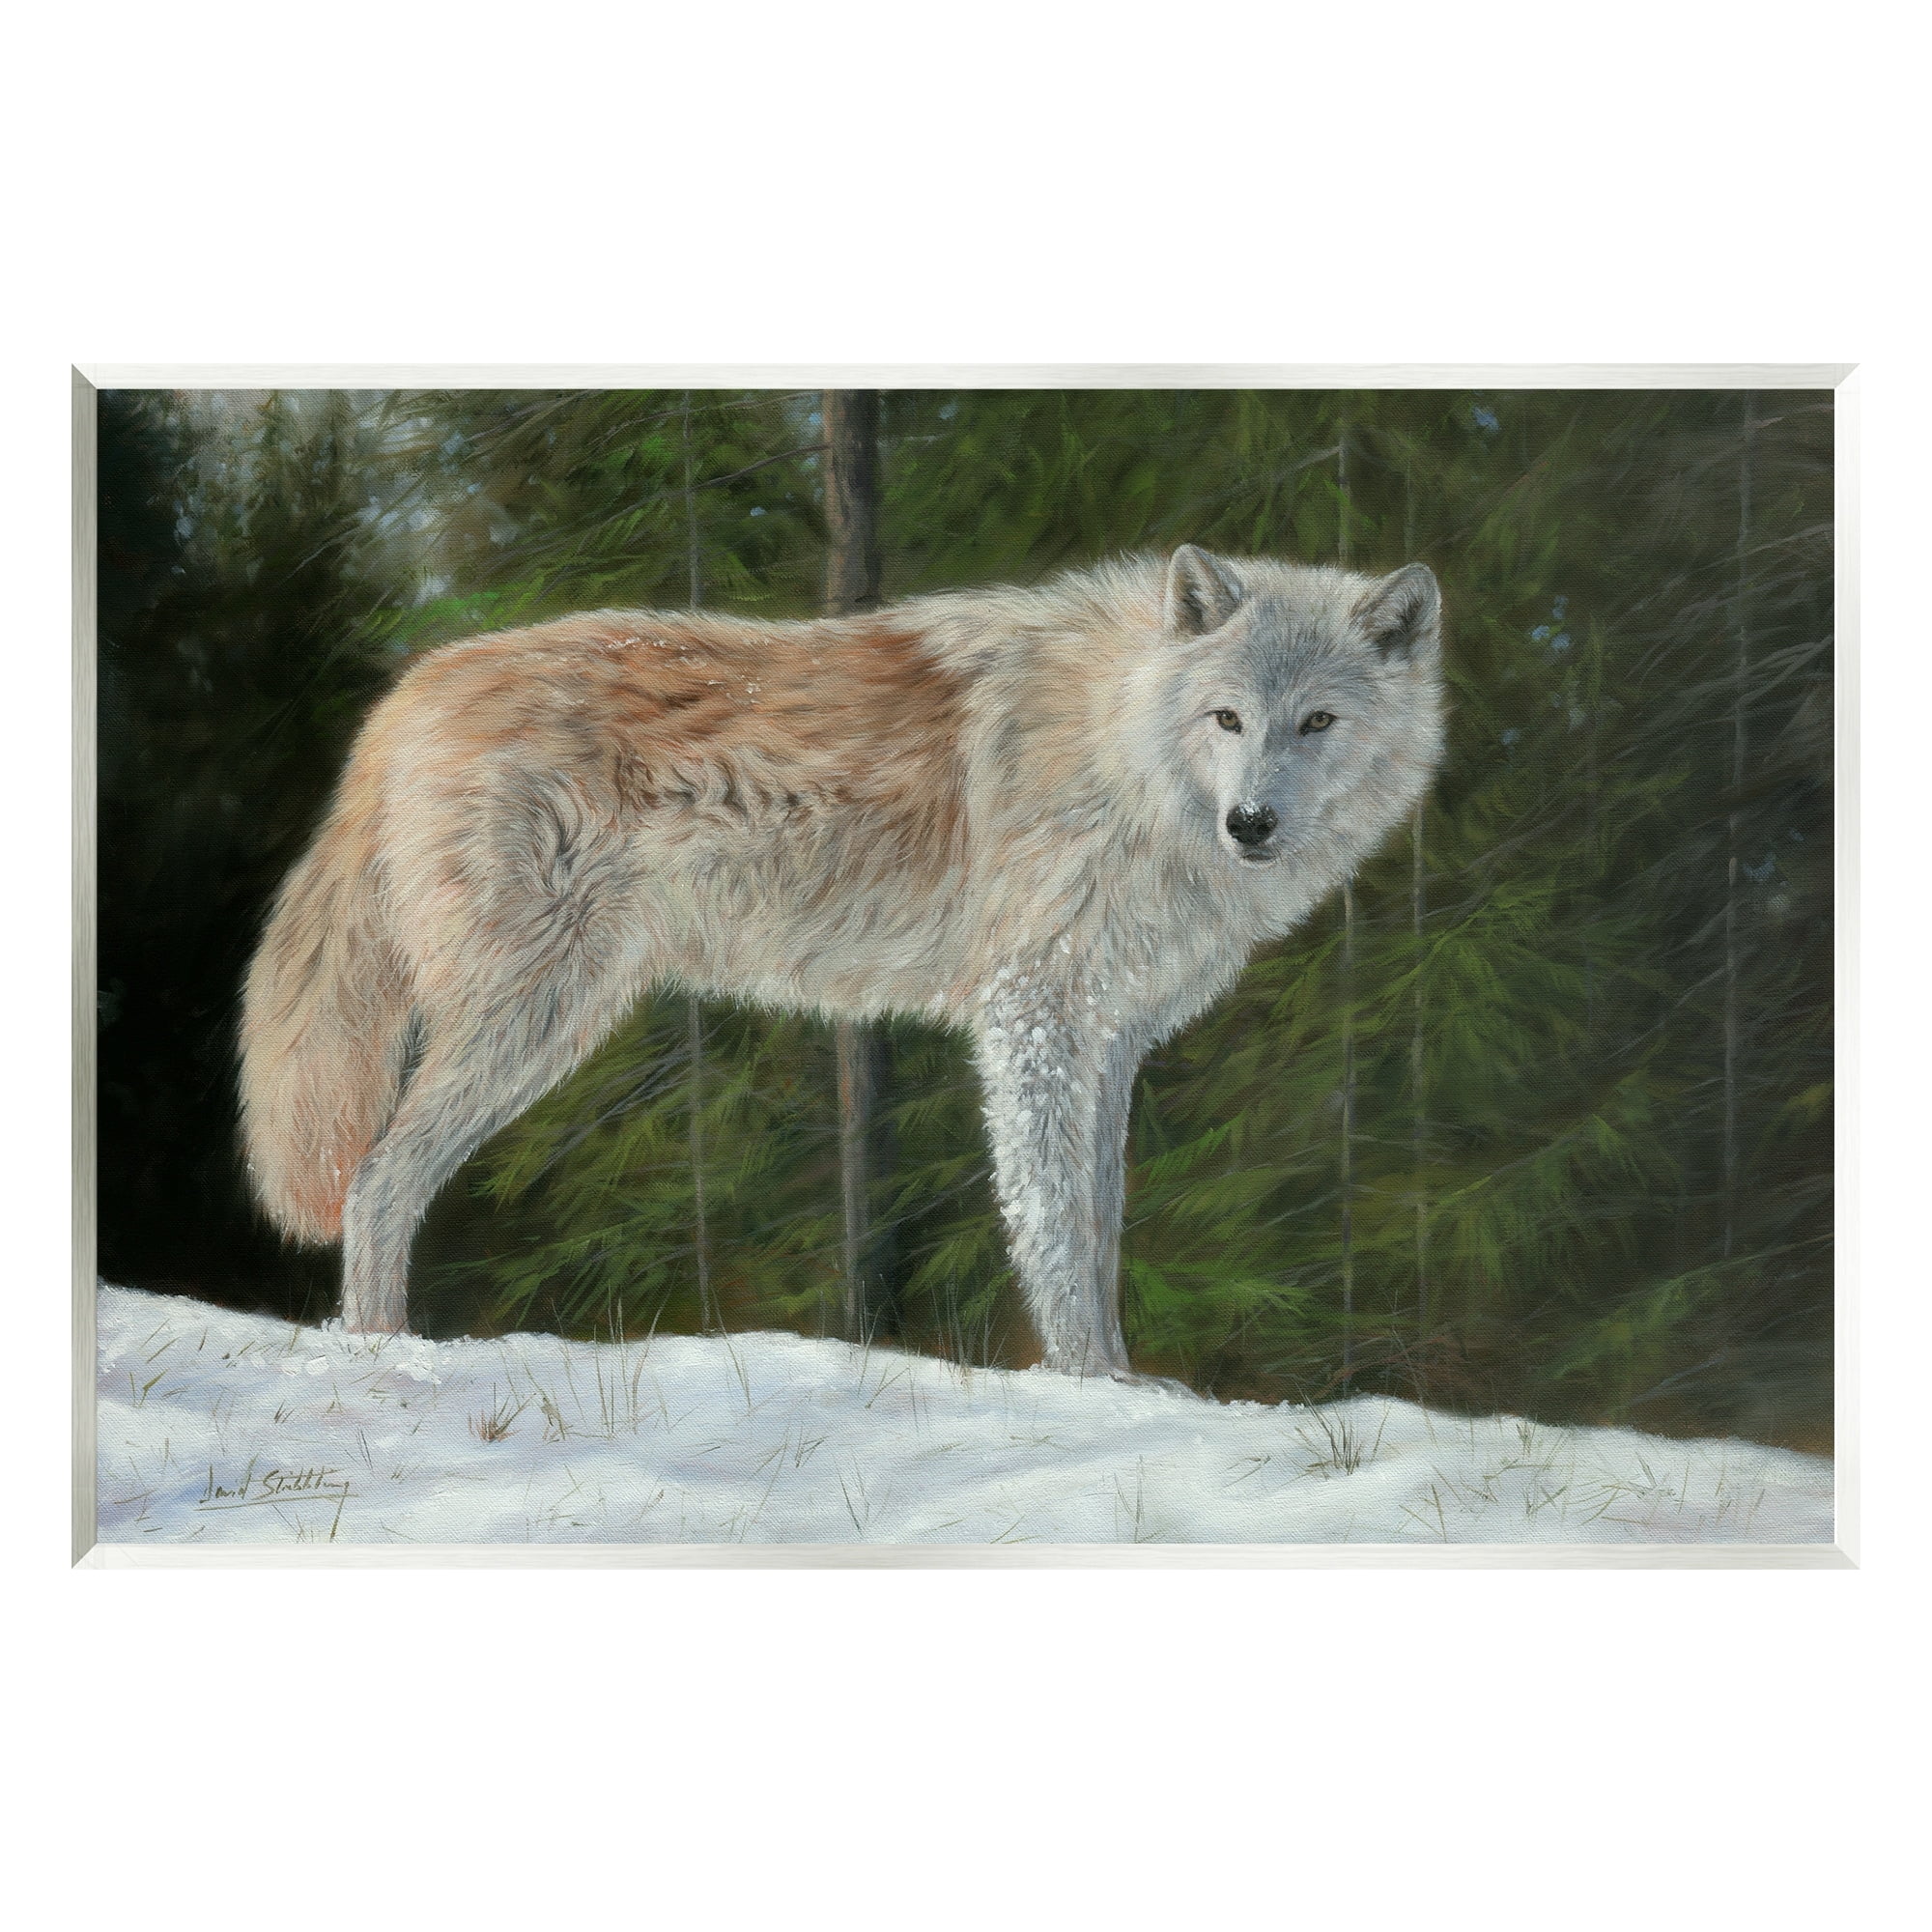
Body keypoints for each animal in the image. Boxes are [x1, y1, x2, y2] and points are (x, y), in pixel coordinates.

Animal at [240, 545, 1445, 1379]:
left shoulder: (1108, 1039)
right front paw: (1093, 1385)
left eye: (1316, 721)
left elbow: (1099, 1225)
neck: (1122, 747)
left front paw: (1121, 1380)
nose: (1251, 824)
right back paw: (384, 1358)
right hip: (532, 1021)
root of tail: (410, 690)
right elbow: (1056, 1229)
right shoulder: (1034, 1018)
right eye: (1227, 717)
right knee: (378, 1181)